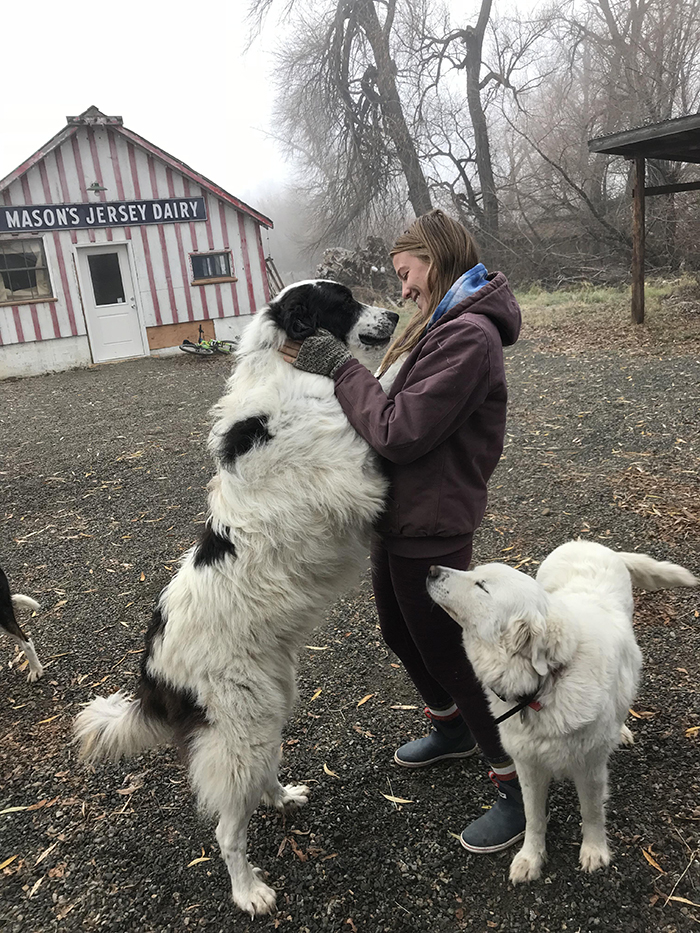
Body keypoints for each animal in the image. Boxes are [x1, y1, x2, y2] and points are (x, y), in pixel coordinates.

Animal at [75, 280, 400, 912]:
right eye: (341, 301)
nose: (398, 313)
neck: (290, 371)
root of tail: (151, 674)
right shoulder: (359, 475)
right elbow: (390, 391)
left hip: (267, 705)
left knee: (260, 776)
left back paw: (280, 795)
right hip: (238, 727)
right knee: (228, 830)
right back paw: (249, 891)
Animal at [424, 540, 696, 880]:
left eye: (482, 586)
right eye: (474, 574)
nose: (431, 569)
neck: (545, 685)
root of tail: (587, 542)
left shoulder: (590, 768)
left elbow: (591, 812)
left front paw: (594, 850)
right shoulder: (527, 765)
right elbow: (533, 817)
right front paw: (530, 858)